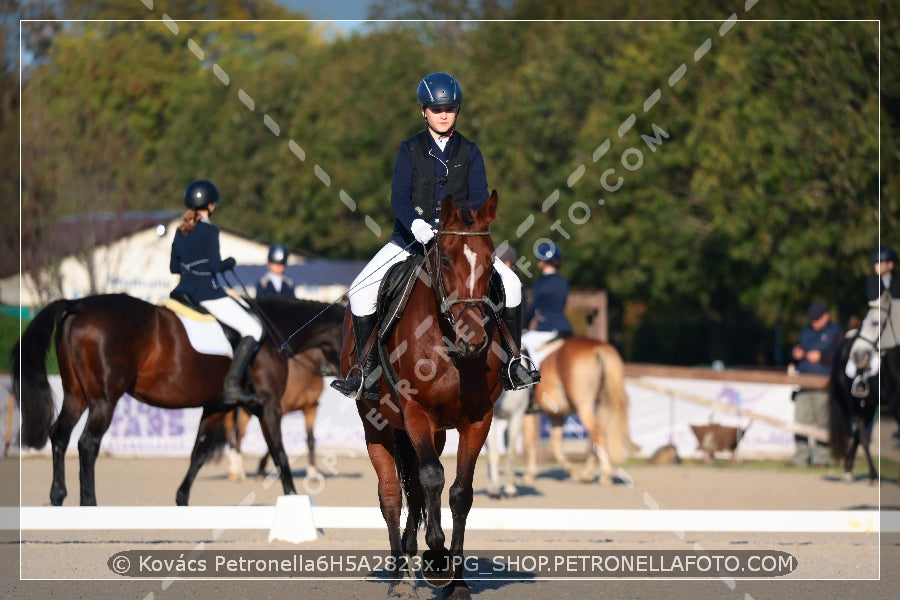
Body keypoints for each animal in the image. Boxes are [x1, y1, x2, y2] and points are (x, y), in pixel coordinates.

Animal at [11, 292, 344, 504]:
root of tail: (78, 305)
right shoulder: (269, 407)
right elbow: (280, 454)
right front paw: (294, 499)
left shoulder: (216, 406)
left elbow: (198, 454)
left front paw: (182, 501)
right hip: (104, 400)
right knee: (88, 444)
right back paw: (89, 503)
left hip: (76, 395)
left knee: (60, 436)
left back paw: (57, 497)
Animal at [342, 193, 502, 600]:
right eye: (445, 259)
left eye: (491, 260)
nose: (474, 340)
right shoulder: (415, 412)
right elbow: (431, 478)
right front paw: (437, 556)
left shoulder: (478, 419)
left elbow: (460, 492)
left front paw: (456, 581)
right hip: (377, 426)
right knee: (392, 495)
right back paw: (401, 577)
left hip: (436, 432)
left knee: (413, 492)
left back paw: (413, 562)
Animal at [520, 338, 640, 488]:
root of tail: (599, 346)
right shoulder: (556, 415)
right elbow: (555, 446)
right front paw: (572, 471)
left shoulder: (526, 414)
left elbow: (530, 443)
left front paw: (529, 474)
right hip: (603, 405)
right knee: (599, 434)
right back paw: (587, 474)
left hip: (584, 406)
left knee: (596, 433)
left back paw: (603, 474)